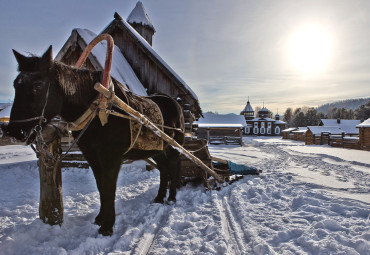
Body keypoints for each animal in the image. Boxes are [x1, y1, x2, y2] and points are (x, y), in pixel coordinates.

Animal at [5, 45, 185, 235]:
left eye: (38, 85)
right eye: (16, 84)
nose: (14, 131)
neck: (99, 112)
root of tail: (175, 102)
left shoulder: (112, 158)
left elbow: (109, 188)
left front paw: (107, 227)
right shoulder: (92, 156)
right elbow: (101, 186)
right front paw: (100, 219)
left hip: (173, 147)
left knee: (174, 168)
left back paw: (172, 197)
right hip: (159, 149)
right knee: (164, 170)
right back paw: (159, 197)